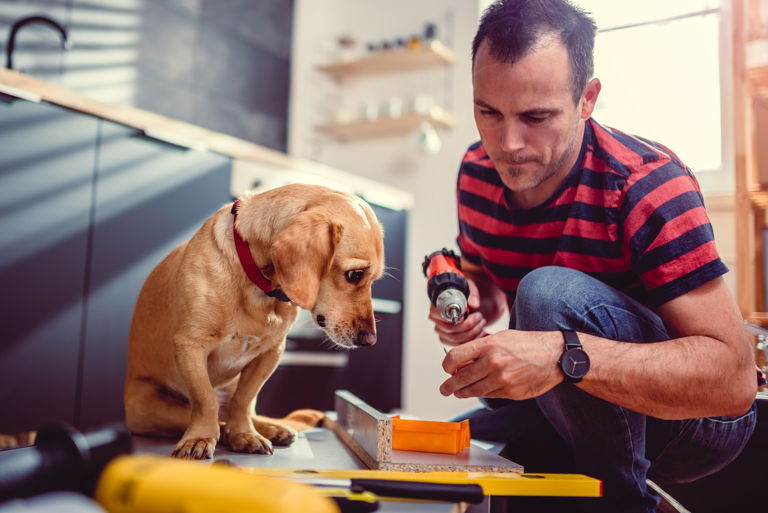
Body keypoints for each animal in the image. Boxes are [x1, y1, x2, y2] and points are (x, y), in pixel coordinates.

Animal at [124, 184, 384, 460]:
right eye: (354, 274)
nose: (370, 340)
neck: (259, 284)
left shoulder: (270, 353)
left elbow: (243, 400)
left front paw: (245, 434)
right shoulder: (191, 345)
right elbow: (205, 400)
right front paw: (200, 437)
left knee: (238, 413)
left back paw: (271, 429)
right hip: (146, 408)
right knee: (217, 417)